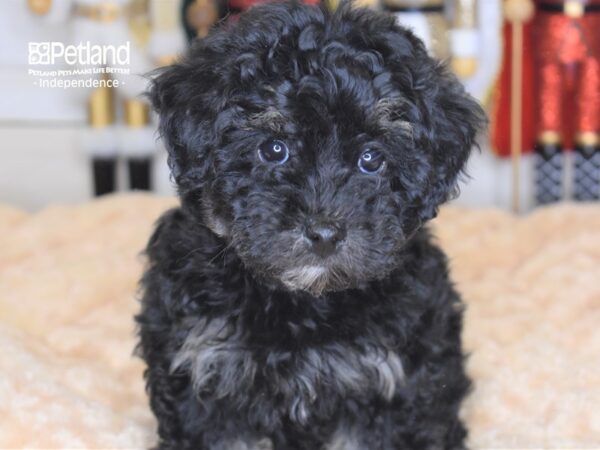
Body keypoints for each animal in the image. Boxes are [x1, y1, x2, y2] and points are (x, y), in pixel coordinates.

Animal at [135, 1, 482, 448]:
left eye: (372, 159)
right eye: (273, 149)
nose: (324, 234)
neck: (302, 302)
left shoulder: (387, 385)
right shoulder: (202, 373)